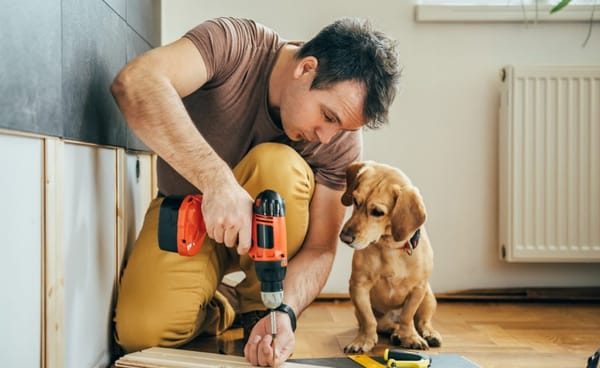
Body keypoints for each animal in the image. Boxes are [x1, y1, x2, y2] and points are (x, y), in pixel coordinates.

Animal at [342, 161, 440, 354]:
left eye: (377, 212)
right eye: (355, 201)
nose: (345, 237)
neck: (390, 248)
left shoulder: (418, 289)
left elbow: (407, 316)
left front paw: (410, 337)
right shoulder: (358, 286)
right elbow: (368, 320)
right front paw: (363, 340)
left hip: (428, 296)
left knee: (422, 321)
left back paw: (428, 334)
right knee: (384, 324)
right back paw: (394, 332)